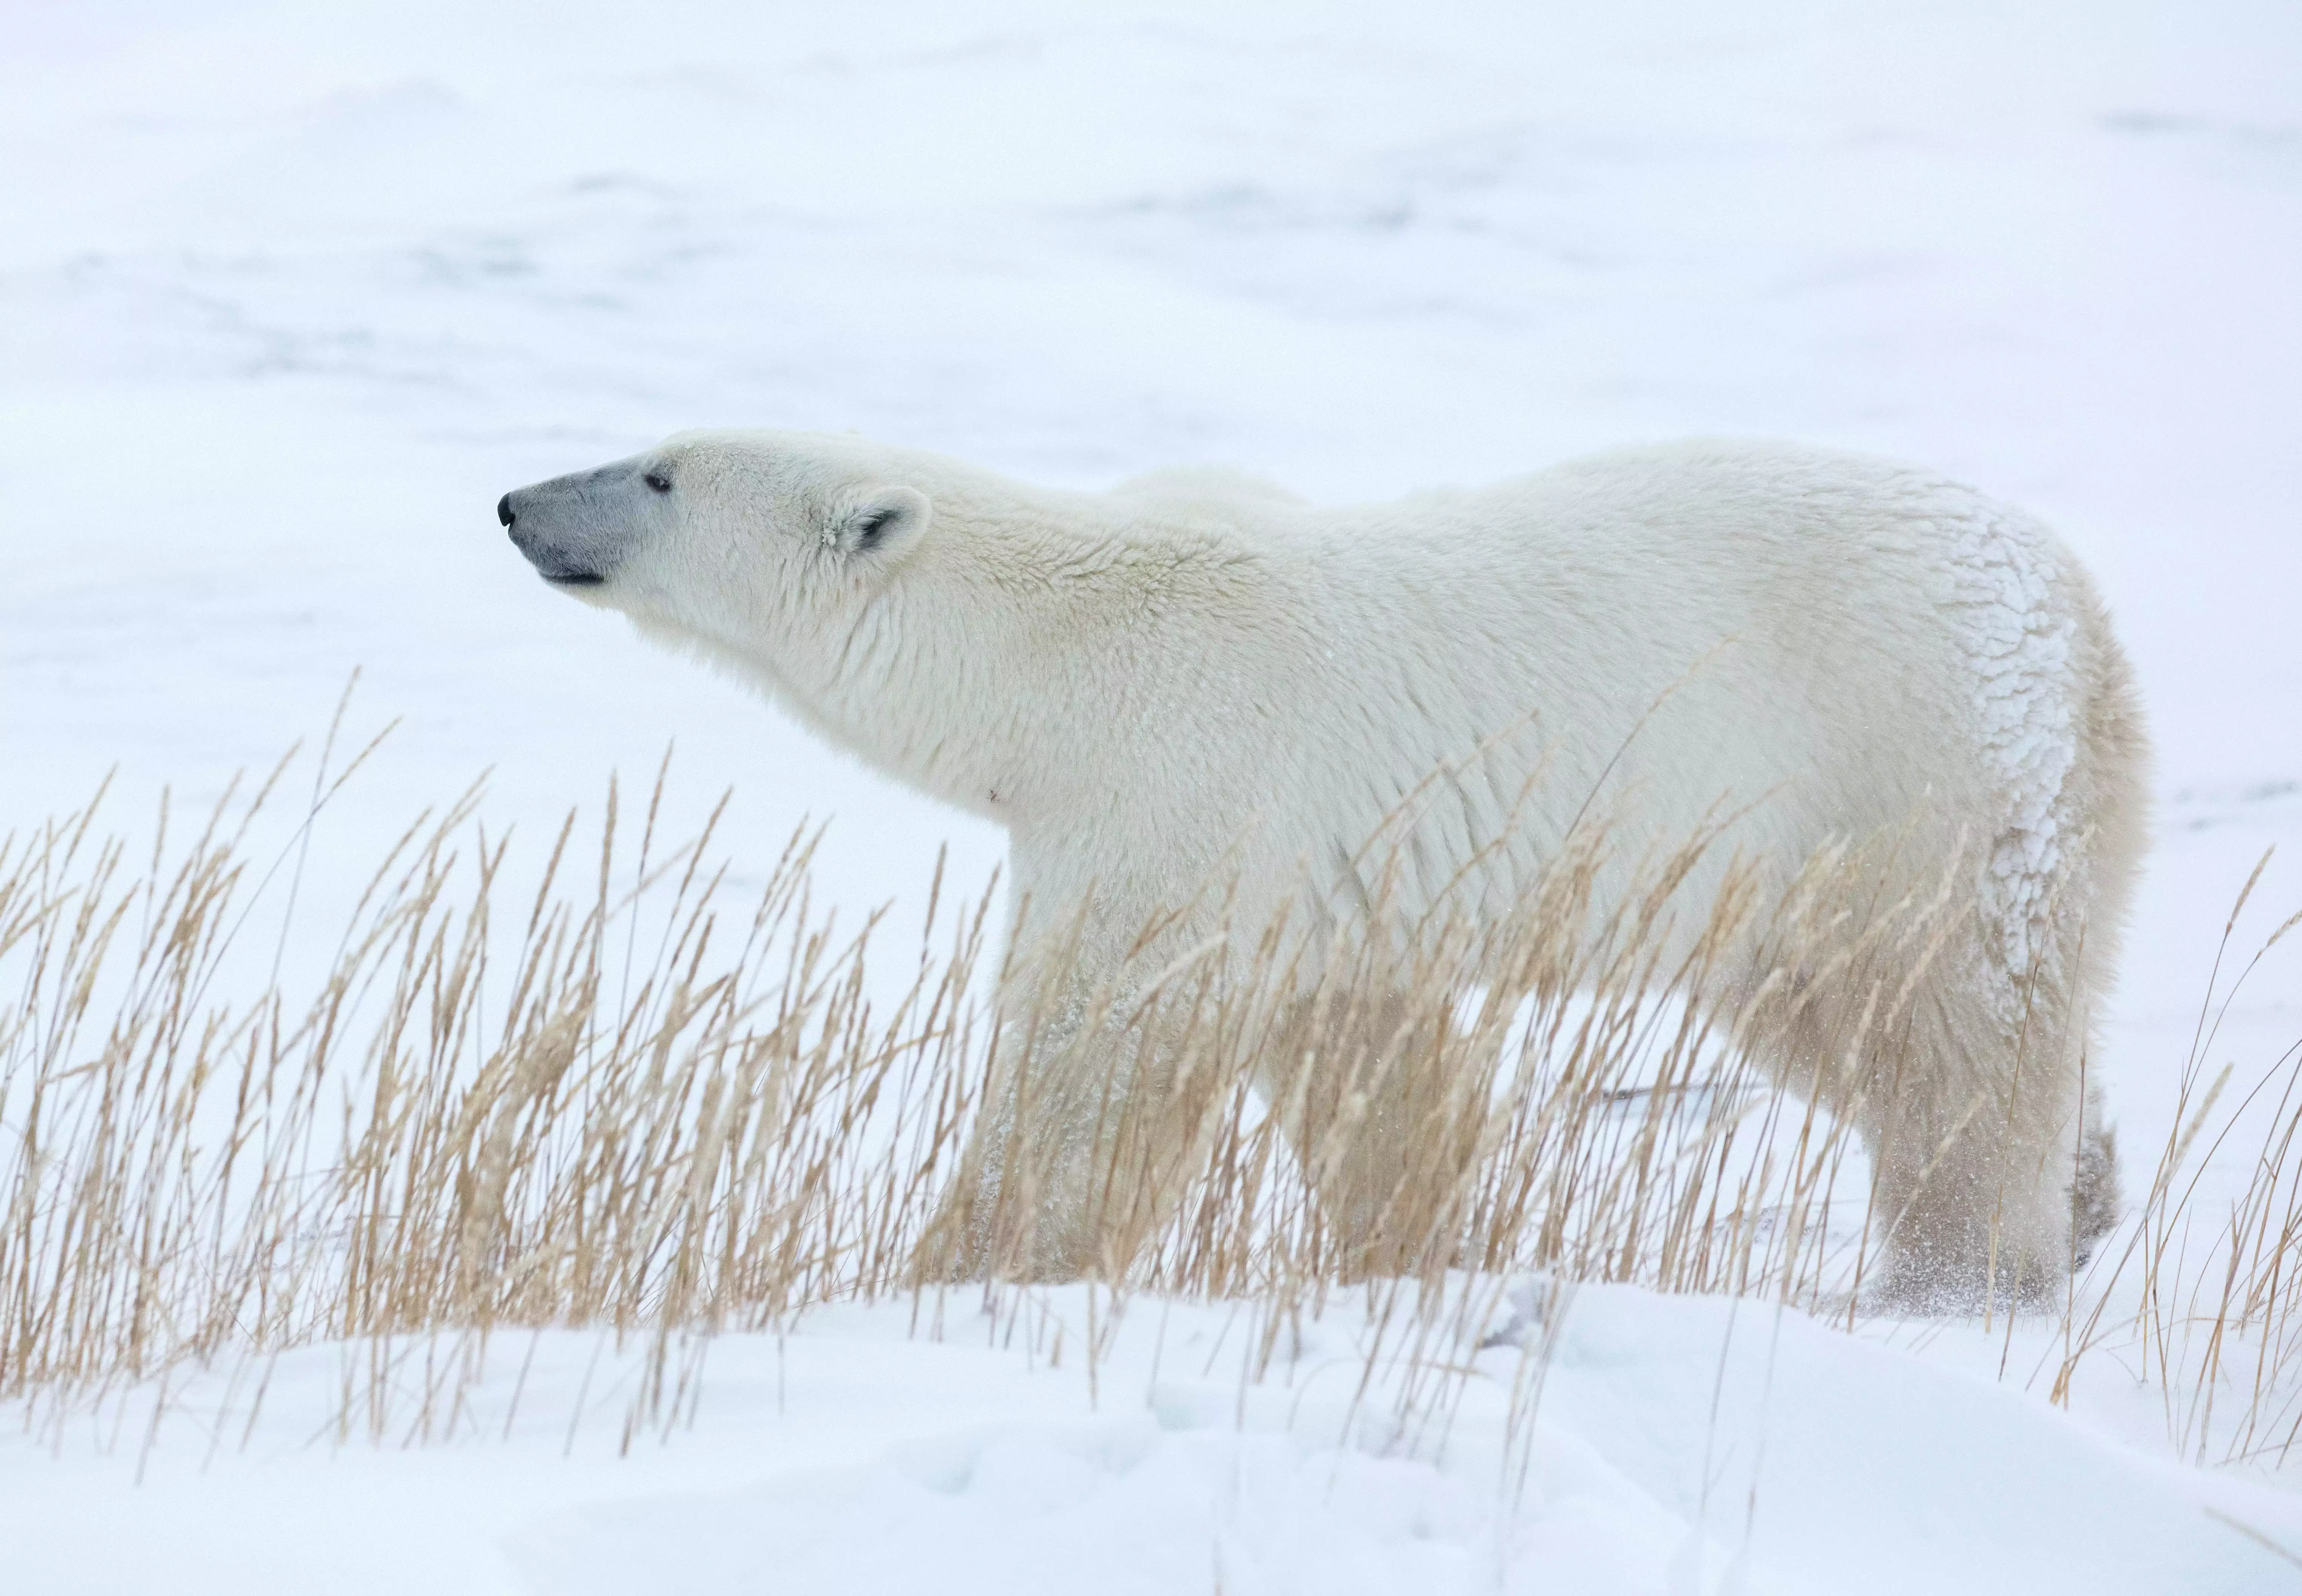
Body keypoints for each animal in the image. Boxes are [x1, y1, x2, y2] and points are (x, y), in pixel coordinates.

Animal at [495, 431, 2145, 1299]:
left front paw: (961, 1266)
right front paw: (1401, 1255)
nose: (517, 502)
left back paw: (1962, 1266)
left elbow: (1089, 1066)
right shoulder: (1317, 878)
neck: (1057, 657)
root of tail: (2078, 609)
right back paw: (2083, 1195)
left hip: (1897, 768)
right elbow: (1369, 1071)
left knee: (1934, 1023)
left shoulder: (1175, 797)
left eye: (658, 474)